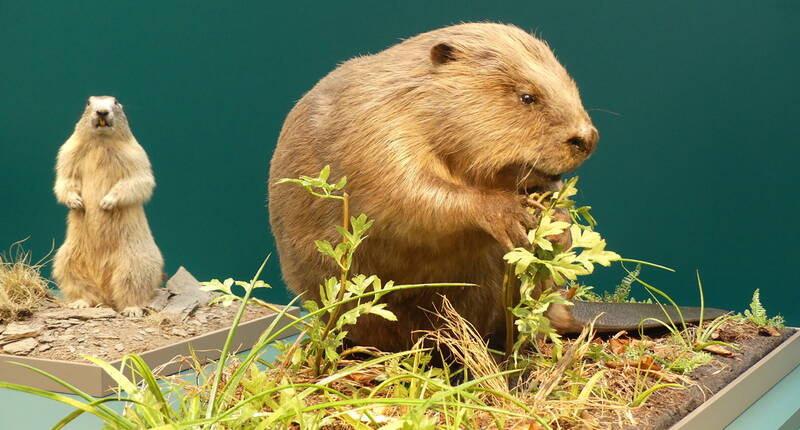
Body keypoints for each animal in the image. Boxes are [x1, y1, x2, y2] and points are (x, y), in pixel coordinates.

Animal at [268, 23, 724, 352]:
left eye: (569, 85)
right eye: (527, 96)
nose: (586, 138)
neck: (412, 93)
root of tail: (564, 313)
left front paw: (555, 219)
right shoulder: (375, 127)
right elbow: (407, 193)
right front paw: (514, 214)